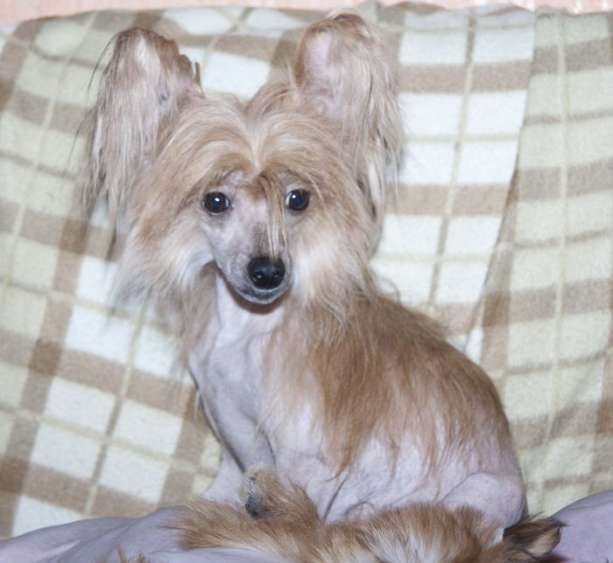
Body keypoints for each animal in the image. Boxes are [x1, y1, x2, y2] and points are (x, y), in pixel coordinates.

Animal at [83, 10, 526, 541]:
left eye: (298, 199)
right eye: (215, 201)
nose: (268, 272)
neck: (248, 330)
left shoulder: (306, 462)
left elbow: (297, 515)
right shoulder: (232, 441)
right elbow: (224, 489)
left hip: (485, 492)